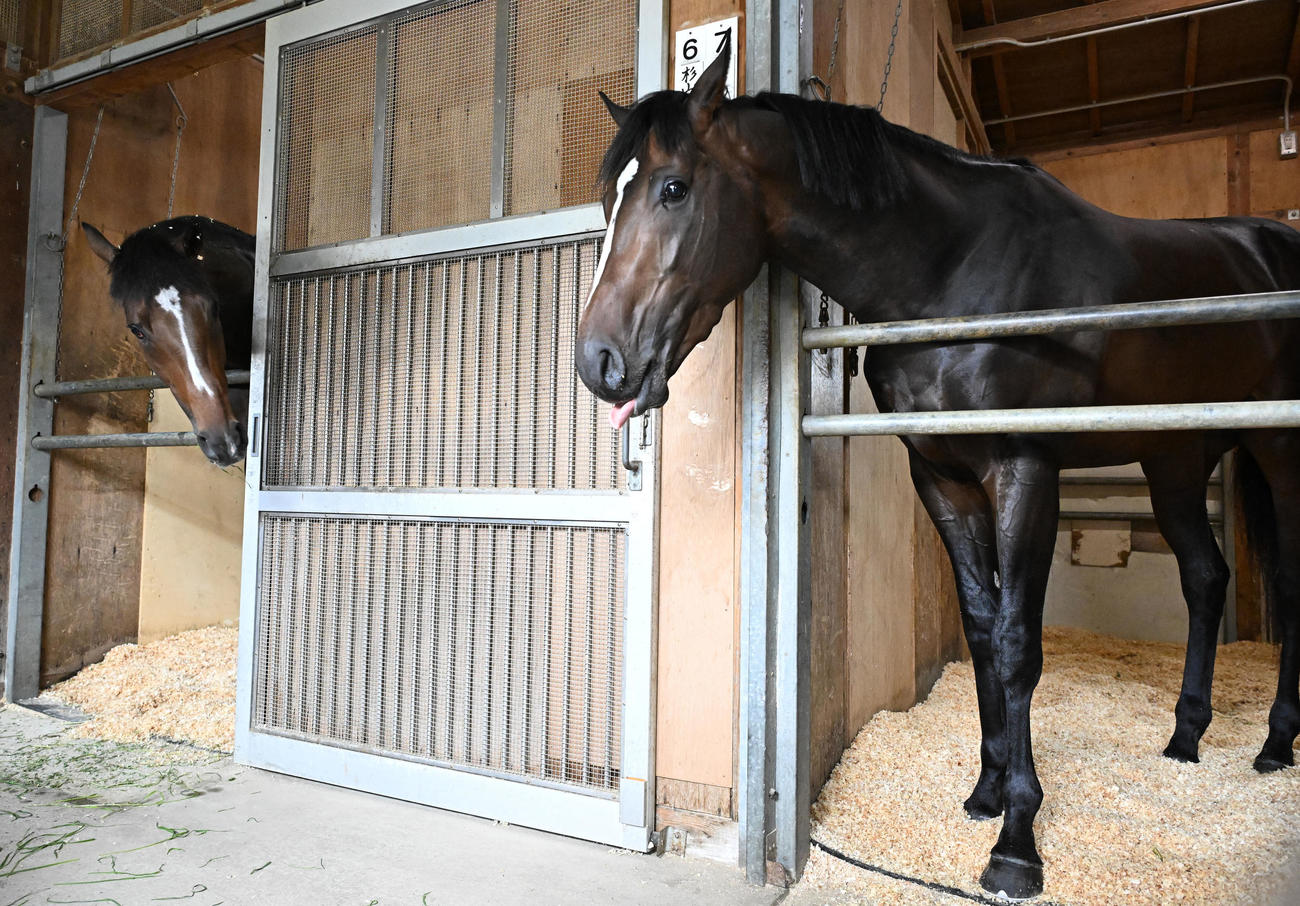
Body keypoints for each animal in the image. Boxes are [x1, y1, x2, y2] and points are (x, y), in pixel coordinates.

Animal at [575, 46, 1300, 899]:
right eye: (609, 196)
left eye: (673, 188)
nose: (598, 362)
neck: (950, 271)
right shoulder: (943, 479)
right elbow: (982, 630)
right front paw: (986, 793)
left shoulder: (1024, 471)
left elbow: (1018, 642)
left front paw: (1017, 846)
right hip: (1175, 459)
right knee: (1205, 577)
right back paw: (1186, 739)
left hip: (1277, 453)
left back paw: (1274, 745)